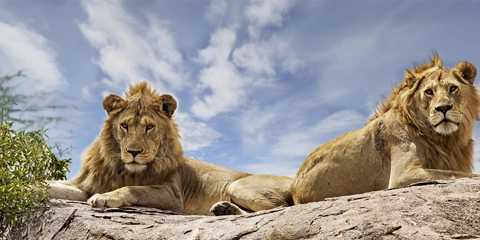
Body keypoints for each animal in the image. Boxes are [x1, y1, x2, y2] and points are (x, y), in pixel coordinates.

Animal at [47, 81, 292, 215]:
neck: (120, 167)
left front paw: (105, 198)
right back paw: (225, 210)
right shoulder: (86, 184)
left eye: (149, 127)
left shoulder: (172, 195)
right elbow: (54, 186)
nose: (134, 153)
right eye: (125, 126)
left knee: (279, 208)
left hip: (237, 185)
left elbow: (132, 189)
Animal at [290, 53, 480, 203]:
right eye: (428, 92)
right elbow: (465, 175)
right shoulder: (403, 174)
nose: (443, 108)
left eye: (453, 88)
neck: (445, 140)